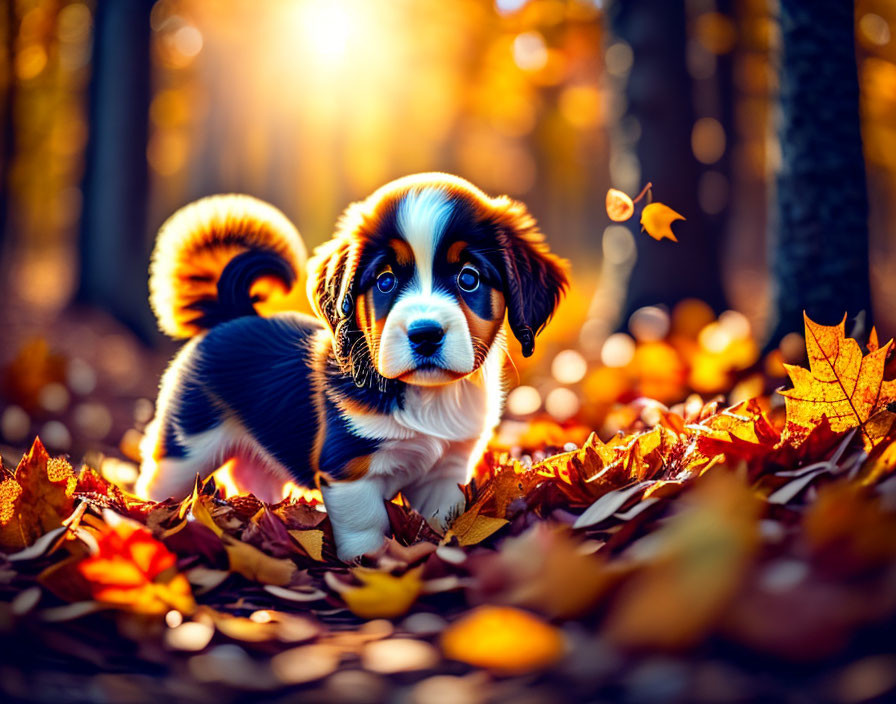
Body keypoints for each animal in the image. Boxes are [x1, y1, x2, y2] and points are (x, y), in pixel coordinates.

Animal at [135, 173, 568, 560]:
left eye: (469, 279)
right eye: (385, 281)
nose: (425, 334)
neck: (425, 396)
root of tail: (232, 314)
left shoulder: (447, 470)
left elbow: (442, 518)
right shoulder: (347, 469)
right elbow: (366, 523)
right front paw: (371, 563)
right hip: (189, 441)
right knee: (162, 479)